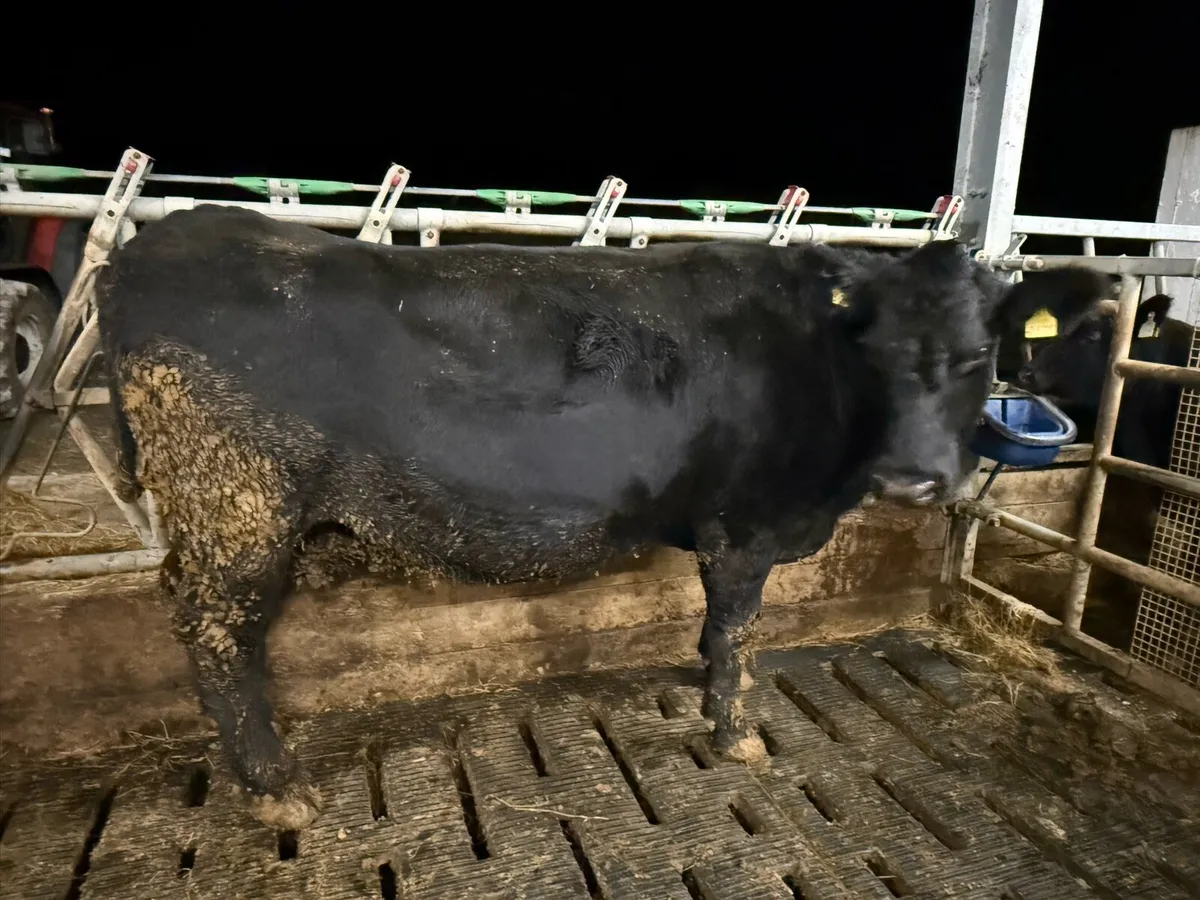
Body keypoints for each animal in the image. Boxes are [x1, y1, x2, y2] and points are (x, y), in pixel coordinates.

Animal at [93, 204, 1112, 830]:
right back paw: (276, 789)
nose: (913, 480)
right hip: (238, 508)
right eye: (879, 351)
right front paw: (733, 731)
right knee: (219, 634)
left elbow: (715, 630)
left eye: (981, 354)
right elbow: (737, 629)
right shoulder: (747, 526)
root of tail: (157, 246)